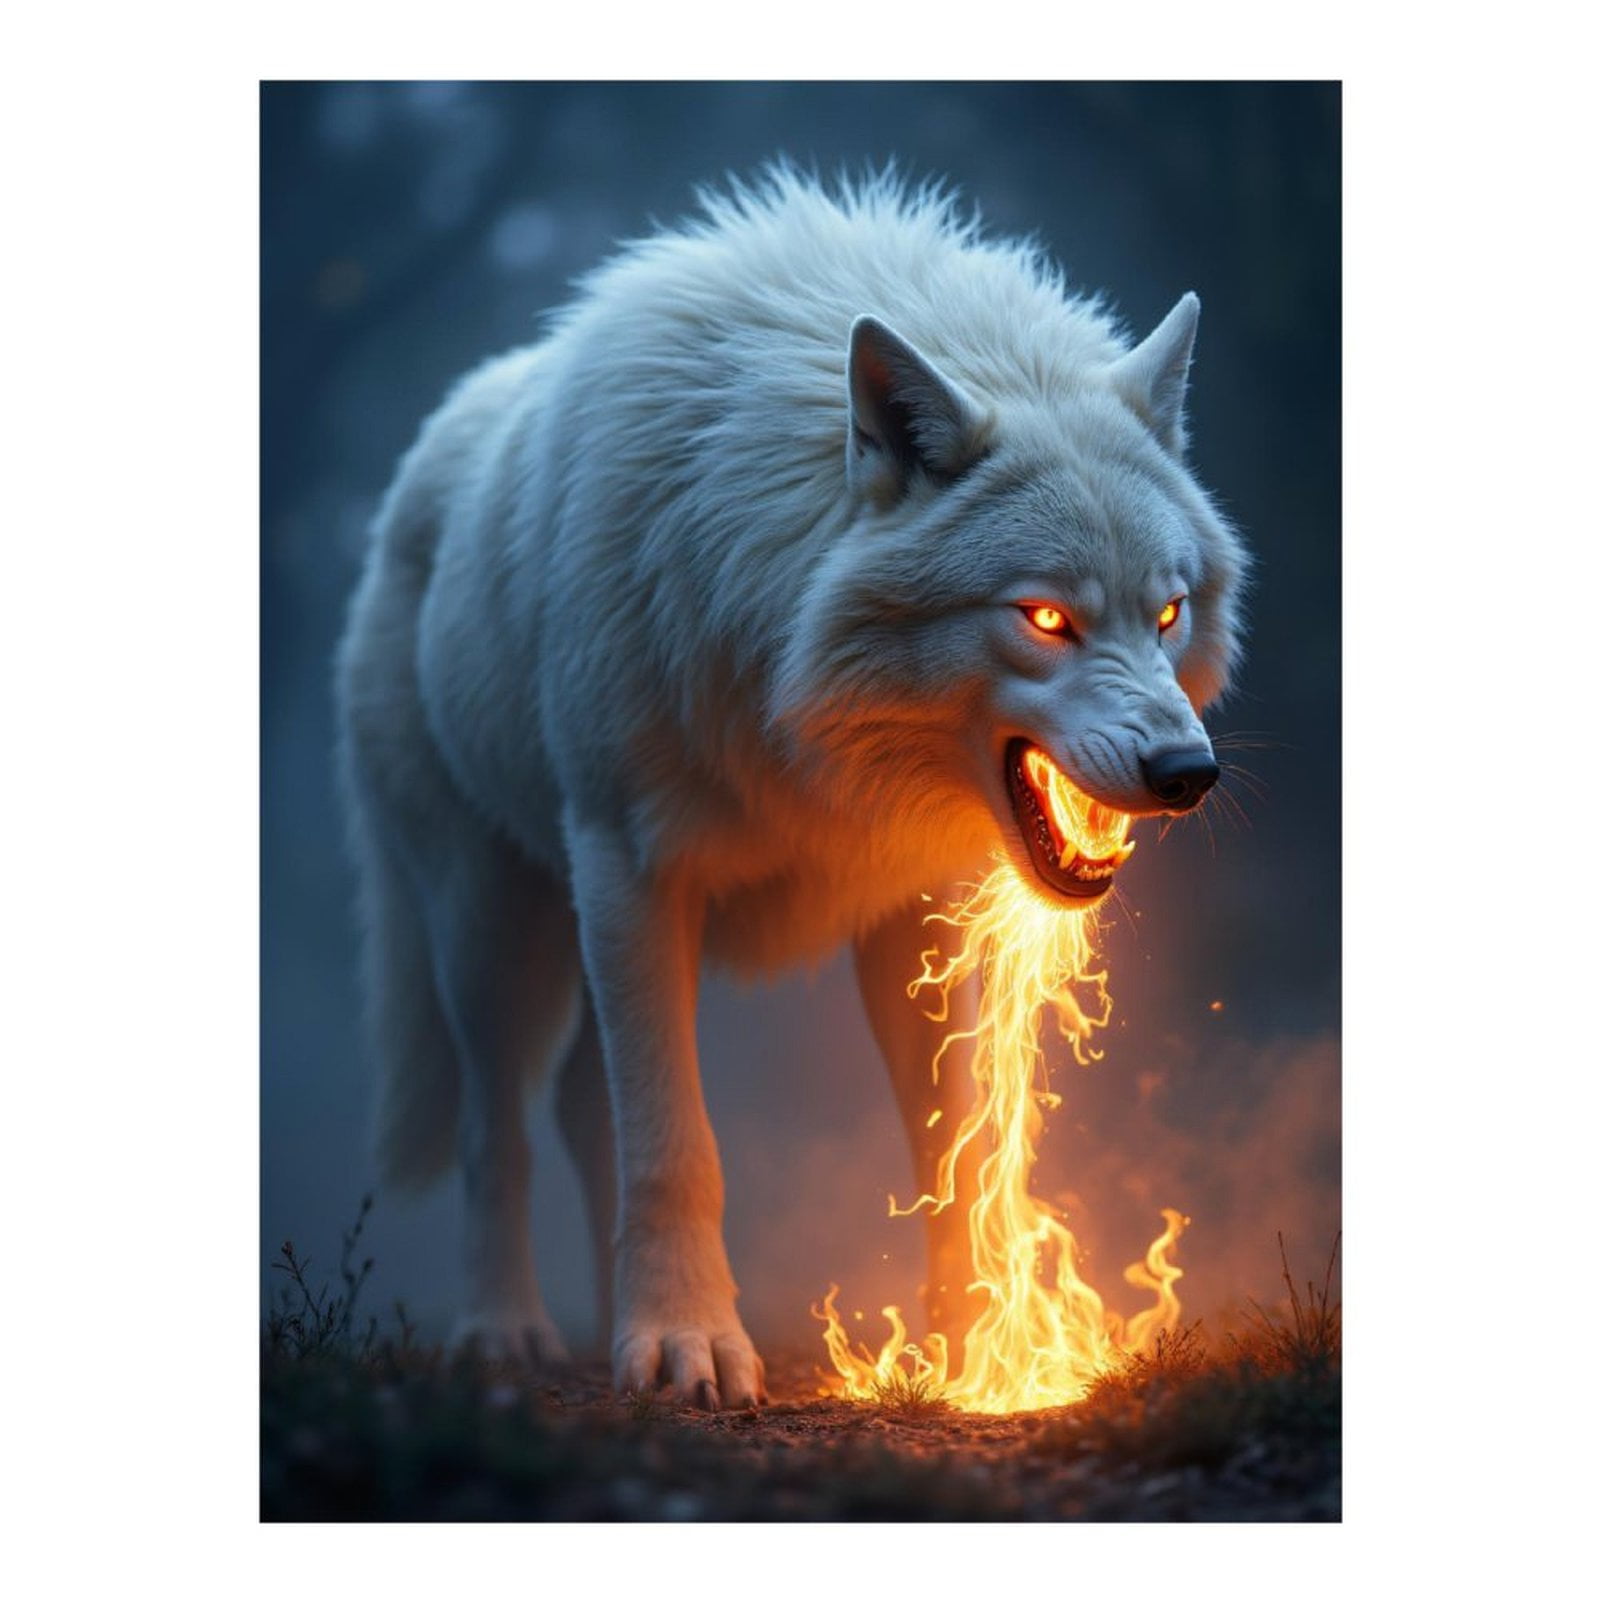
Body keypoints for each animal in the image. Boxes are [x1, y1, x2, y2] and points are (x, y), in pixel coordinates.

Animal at [336, 170, 1248, 1410]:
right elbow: (680, 1146)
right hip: (492, 926)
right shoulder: (628, 868)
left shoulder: (914, 907)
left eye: (1165, 612)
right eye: (1046, 616)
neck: (793, 704)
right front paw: (686, 1343)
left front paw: (975, 1352)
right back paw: (505, 1330)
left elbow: (954, 1148)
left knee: (579, 1101)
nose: (1187, 775)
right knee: (503, 1130)